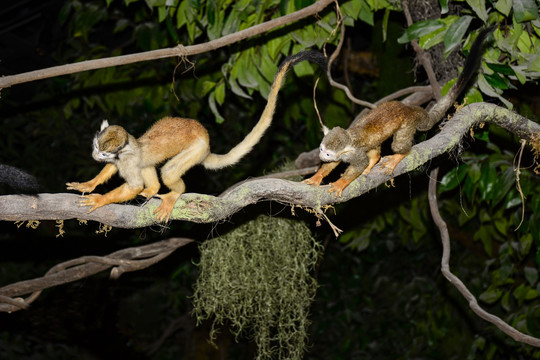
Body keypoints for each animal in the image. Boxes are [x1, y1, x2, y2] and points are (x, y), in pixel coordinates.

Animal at [66, 50, 324, 219]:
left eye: (104, 153)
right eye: (96, 148)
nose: (96, 156)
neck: (129, 148)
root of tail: (207, 145)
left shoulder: (127, 161)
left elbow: (133, 185)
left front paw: (99, 199)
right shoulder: (122, 160)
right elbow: (112, 171)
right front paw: (89, 184)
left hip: (196, 150)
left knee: (169, 171)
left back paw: (173, 193)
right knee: (150, 167)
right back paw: (154, 189)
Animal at [304, 26, 494, 197]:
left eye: (327, 153)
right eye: (321, 149)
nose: (321, 156)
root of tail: (407, 108)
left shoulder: (354, 154)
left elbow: (358, 164)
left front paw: (340, 183)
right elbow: (332, 165)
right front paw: (317, 177)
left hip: (407, 125)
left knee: (398, 145)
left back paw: (400, 154)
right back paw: (375, 159)